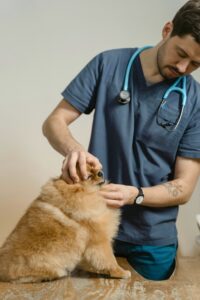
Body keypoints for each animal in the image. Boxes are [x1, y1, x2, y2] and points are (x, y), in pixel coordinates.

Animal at [0, 165, 131, 282]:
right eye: (89, 176)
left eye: (94, 168)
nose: (100, 172)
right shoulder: (99, 241)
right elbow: (109, 260)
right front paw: (121, 272)